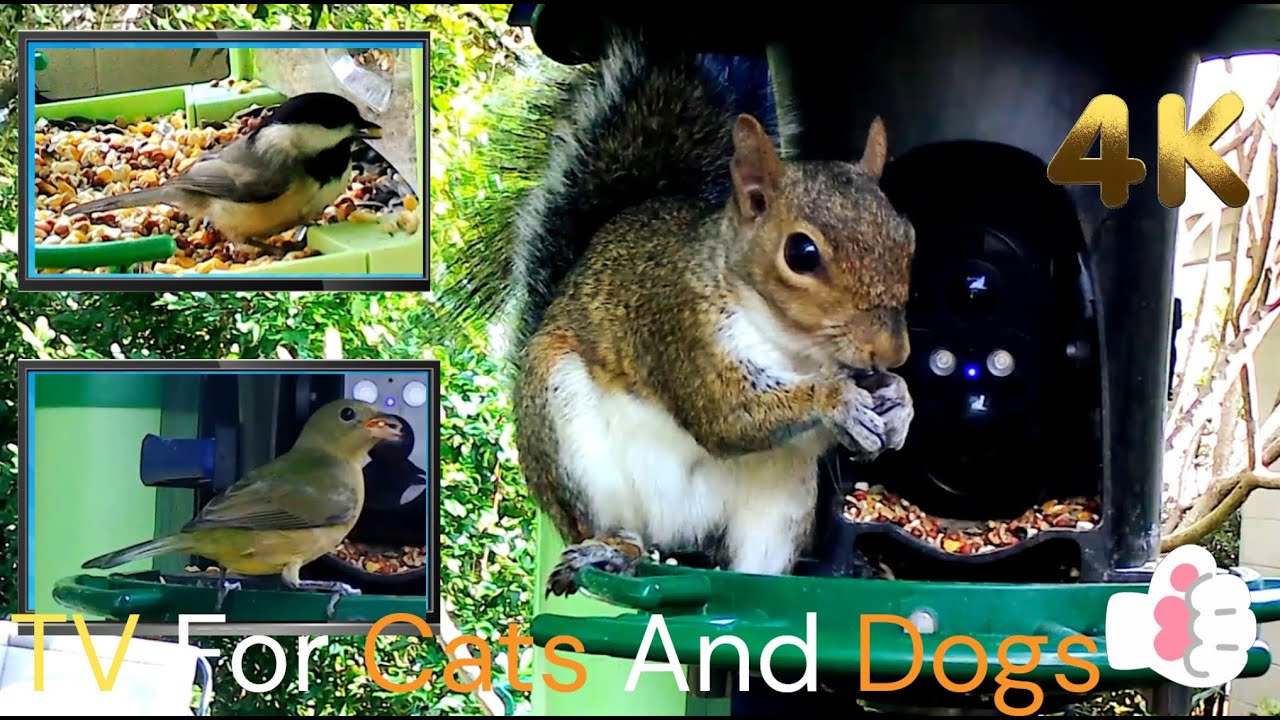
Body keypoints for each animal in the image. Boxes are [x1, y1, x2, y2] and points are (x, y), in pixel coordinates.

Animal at [454, 29, 918, 597]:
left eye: (908, 237)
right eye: (801, 253)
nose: (893, 352)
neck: (794, 347)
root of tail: (677, 536)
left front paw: (899, 405)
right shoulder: (678, 326)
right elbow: (725, 414)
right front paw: (839, 401)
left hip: (781, 496)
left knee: (755, 566)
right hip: (567, 431)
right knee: (612, 526)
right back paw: (612, 550)